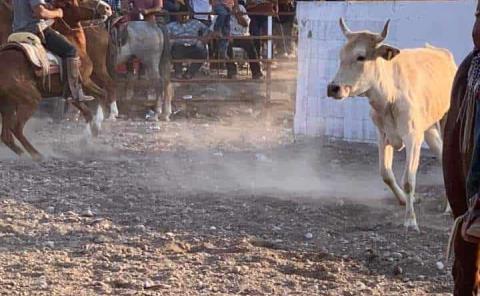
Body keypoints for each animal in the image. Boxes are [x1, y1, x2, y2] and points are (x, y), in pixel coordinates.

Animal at [0, 0, 111, 160]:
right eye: (85, 1)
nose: (108, 8)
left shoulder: (72, 92)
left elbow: (96, 102)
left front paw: (93, 131)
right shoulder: (82, 83)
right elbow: (95, 103)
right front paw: (92, 132)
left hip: (7, 104)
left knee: (6, 136)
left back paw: (22, 153)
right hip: (30, 99)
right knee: (17, 129)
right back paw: (36, 154)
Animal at [326, 19, 458, 231]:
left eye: (360, 56)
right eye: (341, 55)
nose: (333, 88)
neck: (390, 96)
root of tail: (441, 53)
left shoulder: (413, 138)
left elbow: (409, 180)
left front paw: (411, 220)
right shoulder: (383, 136)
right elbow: (385, 173)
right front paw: (405, 200)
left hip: (446, 119)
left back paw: (449, 207)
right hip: (429, 129)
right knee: (440, 153)